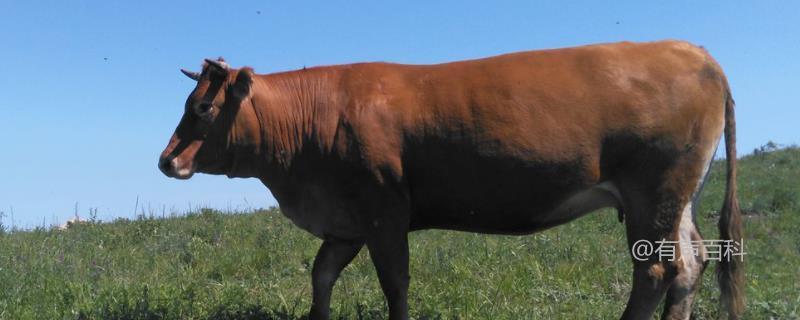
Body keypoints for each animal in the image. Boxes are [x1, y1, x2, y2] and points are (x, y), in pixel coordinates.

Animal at [161, 40, 744, 320]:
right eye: (189, 102)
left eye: (205, 108)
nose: (167, 161)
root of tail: (693, 51)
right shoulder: (346, 222)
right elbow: (321, 276)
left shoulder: (384, 212)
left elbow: (395, 283)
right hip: (677, 200)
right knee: (690, 264)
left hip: (654, 193)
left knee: (655, 271)